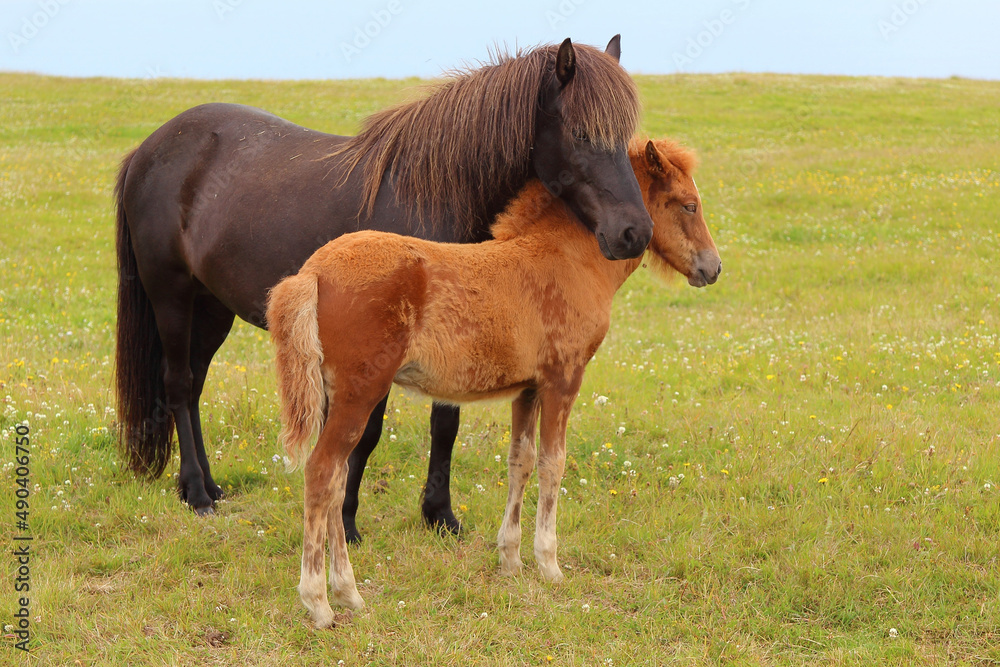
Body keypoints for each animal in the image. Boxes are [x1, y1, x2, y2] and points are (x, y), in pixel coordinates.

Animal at [113, 37, 654, 530]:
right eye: (581, 133)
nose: (635, 232)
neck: (431, 197)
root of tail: (148, 149)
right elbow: (366, 432)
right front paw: (346, 521)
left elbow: (445, 424)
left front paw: (439, 515)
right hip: (171, 296)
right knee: (179, 384)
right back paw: (197, 494)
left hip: (211, 307)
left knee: (194, 385)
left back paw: (207, 486)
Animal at [266, 137, 721, 626]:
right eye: (689, 205)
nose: (713, 268)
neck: (569, 258)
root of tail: (313, 271)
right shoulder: (563, 378)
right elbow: (553, 463)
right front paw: (549, 565)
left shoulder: (528, 388)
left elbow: (520, 461)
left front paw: (510, 560)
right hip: (359, 394)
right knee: (323, 473)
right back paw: (320, 602)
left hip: (334, 396)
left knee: (335, 479)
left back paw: (348, 593)